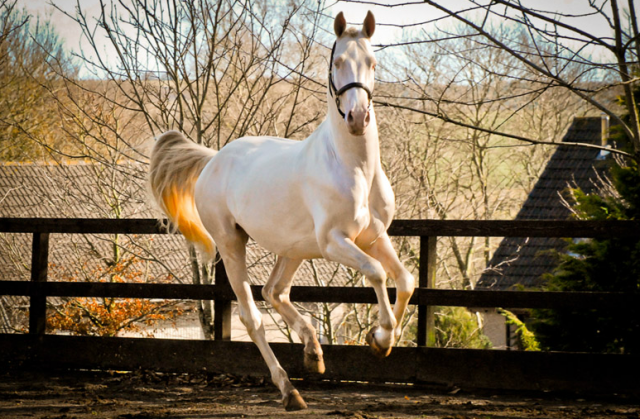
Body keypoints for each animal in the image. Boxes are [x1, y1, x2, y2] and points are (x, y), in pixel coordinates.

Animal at [150, 11, 416, 412]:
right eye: (338, 62)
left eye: (372, 62)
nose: (357, 119)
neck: (353, 166)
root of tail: (213, 159)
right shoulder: (335, 242)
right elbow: (376, 273)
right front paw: (381, 336)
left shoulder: (374, 236)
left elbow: (405, 279)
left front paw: (381, 341)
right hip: (232, 244)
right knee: (252, 315)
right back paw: (290, 390)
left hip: (293, 249)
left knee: (274, 291)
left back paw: (312, 353)